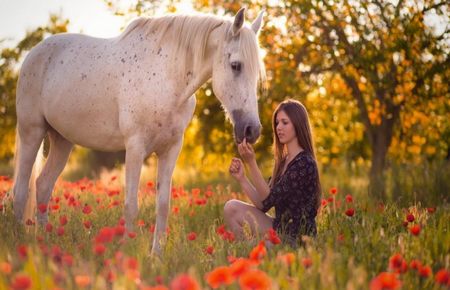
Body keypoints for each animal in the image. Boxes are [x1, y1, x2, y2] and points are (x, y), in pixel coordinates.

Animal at [12, 7, 266, 254]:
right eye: (236, 65)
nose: (252, 130)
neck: (165, 78)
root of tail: (34, 54)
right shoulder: (135, 147)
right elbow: (131, 205)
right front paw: (128, 253)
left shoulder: (171, 149)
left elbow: (162, 205)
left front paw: (156, 256)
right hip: (32, 132)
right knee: (21, 190)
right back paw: (19, 242)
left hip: (62, 140)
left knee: (43, 186)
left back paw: (45, 241)